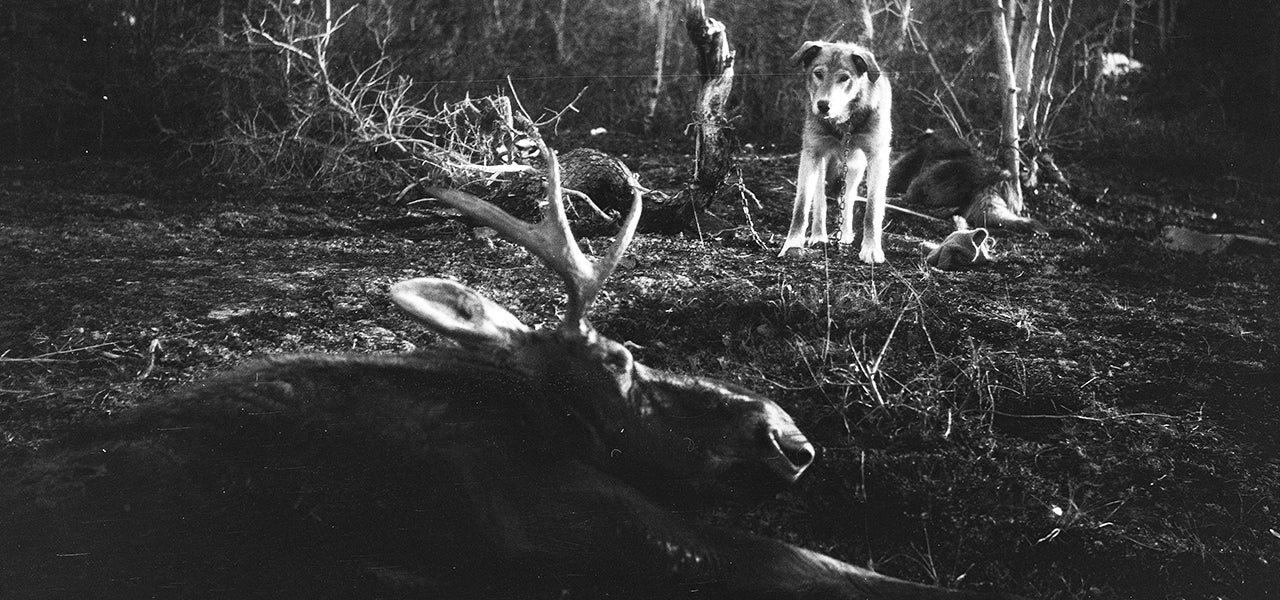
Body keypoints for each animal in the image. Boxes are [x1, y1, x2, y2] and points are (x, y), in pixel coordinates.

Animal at [778, 39, 890, 259]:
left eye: (844, 78)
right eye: (818, 74)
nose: (823, 106)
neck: (844, 122)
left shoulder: (877, 157)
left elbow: (872, 210)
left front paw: (871, 249)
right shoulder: (811, 154)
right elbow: (801, 206)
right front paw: (792, 244)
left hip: (855, 168)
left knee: (848, 198)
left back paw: (844, 235)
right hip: (822, 163)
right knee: (820, 200)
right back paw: (818, 236)